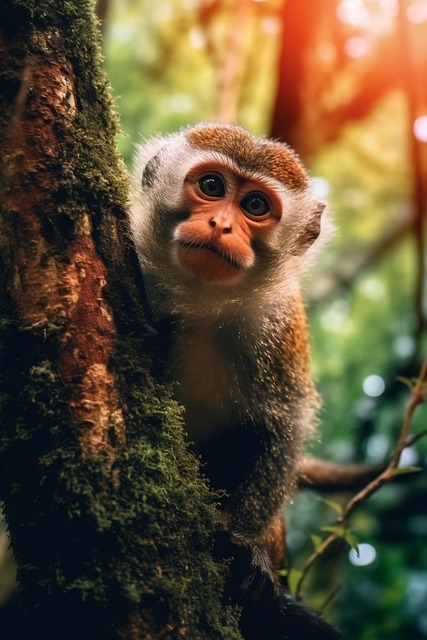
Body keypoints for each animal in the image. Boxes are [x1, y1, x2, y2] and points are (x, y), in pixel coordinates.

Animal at [130, 123, 343, 639]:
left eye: (255, 206)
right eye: (211, 186)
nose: (220, 226)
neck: (202, 302)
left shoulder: (278, 323)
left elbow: (286, 424)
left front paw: (244, 544)